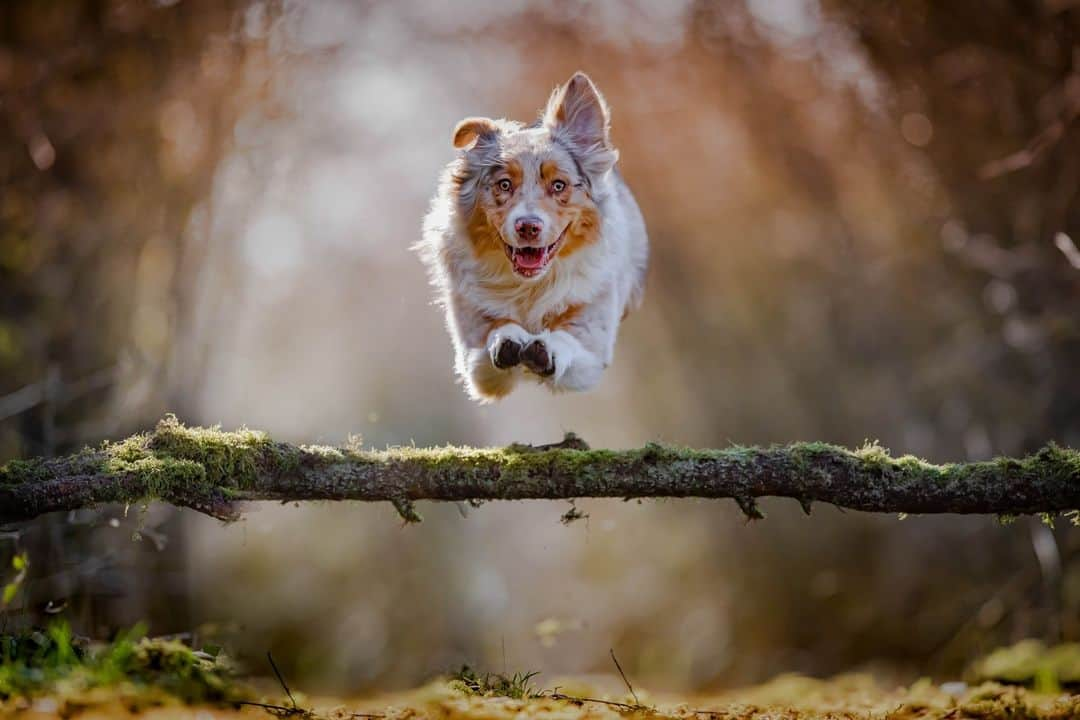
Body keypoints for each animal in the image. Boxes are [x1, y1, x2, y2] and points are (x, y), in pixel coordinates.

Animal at [416, 71, 643, 405]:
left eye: (559, 185)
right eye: (504, 184)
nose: (528, 227)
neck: (531, 287)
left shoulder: (592, 344)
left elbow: (568, 341)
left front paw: (545, 350)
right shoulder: (474, 356)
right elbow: (495, 333)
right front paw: (508, 339)